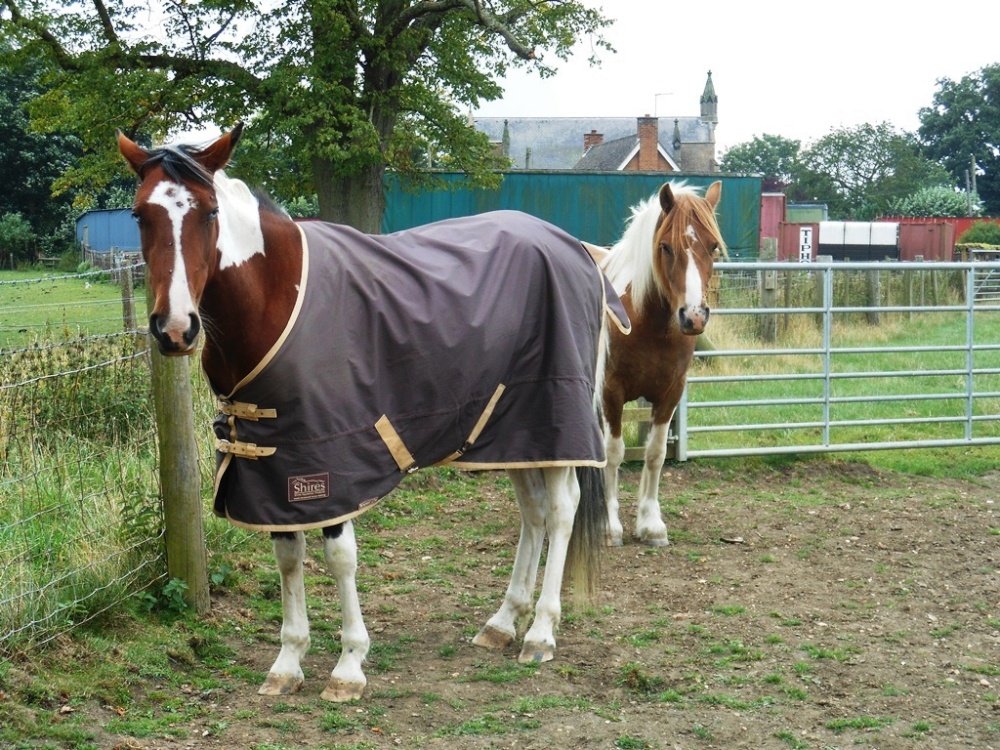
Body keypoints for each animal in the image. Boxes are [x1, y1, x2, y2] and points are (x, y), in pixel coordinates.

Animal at [117, 123, 628, 702]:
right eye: (140, 214)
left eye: (207, 213)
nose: (175, 329)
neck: (277, 296)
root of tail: (576, 250)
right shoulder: (275, 464)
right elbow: (287, 557)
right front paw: (288, 661)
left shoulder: (330, 463)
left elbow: (340, 559)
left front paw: (348, 666)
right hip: (516, 433)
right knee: (534, 512)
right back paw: (502, 623)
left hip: (556, 421)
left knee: (562, 511)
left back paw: (540, 632)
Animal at [599, 181, 724, 547]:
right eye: (666, 247)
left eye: (713, 246)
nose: (694, 316)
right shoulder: (610, 392)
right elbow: (614, 452)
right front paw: (610, 526)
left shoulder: (670, 393)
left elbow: (654, 454)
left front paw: (651, 524)